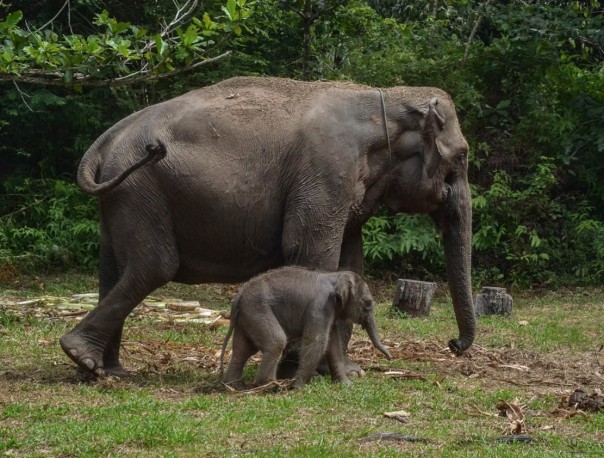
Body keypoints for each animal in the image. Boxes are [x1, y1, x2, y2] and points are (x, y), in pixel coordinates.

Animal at [221, 266, 392, 388]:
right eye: (368, 303)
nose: (390, 358)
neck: (334, 276)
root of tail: (238, 296)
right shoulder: (320, 307)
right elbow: (316, 342)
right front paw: (298, 386)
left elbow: (333, 345)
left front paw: (347, 385)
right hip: (258, 311)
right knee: (276, 342)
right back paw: (270, 386)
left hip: (247, 317)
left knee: (243, 349)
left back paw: (234, 386)